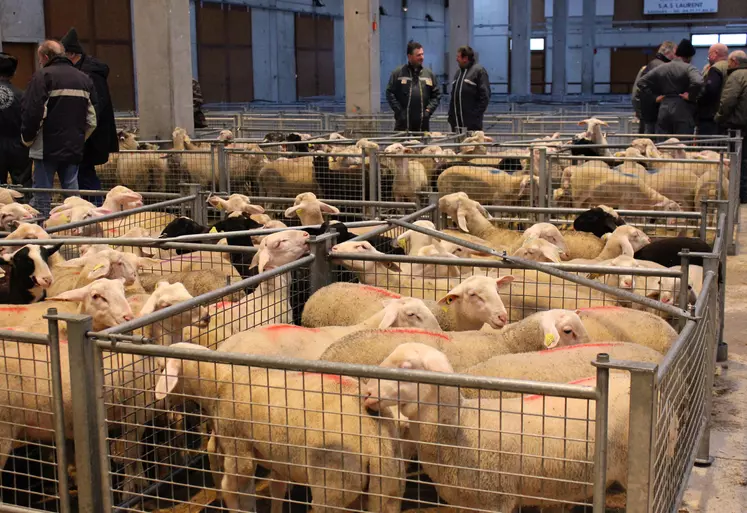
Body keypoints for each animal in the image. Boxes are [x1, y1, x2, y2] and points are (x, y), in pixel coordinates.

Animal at [154, 344, 406, 512]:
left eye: (160, 368)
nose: (160, 404)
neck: (221, 382)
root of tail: (374, 438)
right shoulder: (279, 456)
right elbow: (276, 489)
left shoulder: (238, 444)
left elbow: (236, 487)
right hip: (391, 486)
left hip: (333, 485)